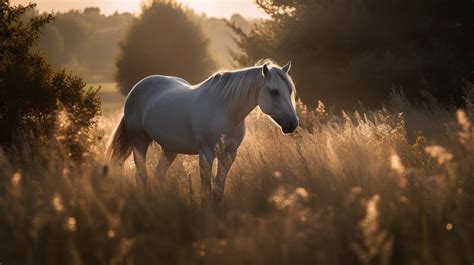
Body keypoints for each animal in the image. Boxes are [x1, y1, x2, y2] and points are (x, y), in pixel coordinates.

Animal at [109, 60, 298, 202]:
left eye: (290, 90)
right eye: (274, 91)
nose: (293, 124)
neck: (224, 109)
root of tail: (138, 87)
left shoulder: (229, 154)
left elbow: (218, 190)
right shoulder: (206, 154)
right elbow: (205, 189)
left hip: (170, 149)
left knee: (158, 175)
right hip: (139, 142)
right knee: (142, 177)